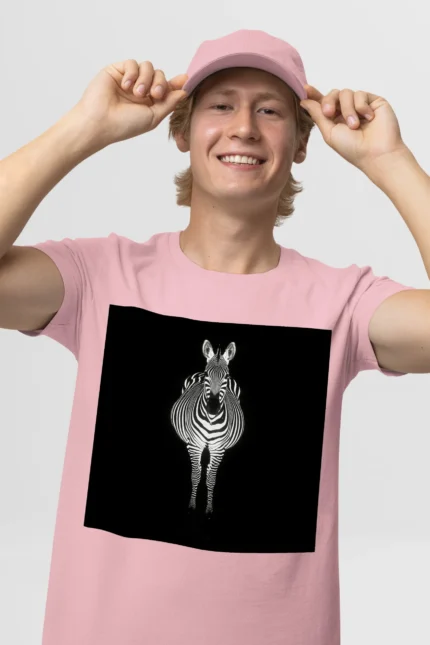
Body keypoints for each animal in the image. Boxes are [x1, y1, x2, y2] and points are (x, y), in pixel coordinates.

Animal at [170, 339, 245, 516]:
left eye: (226, 376)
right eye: (207, 375)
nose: (212, 408)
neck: (211, 420)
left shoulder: (218, 449)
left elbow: (211, 478)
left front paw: (209, 508)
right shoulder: (195, 445)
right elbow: (196, 475)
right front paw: (192, 505)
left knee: (209, 469)